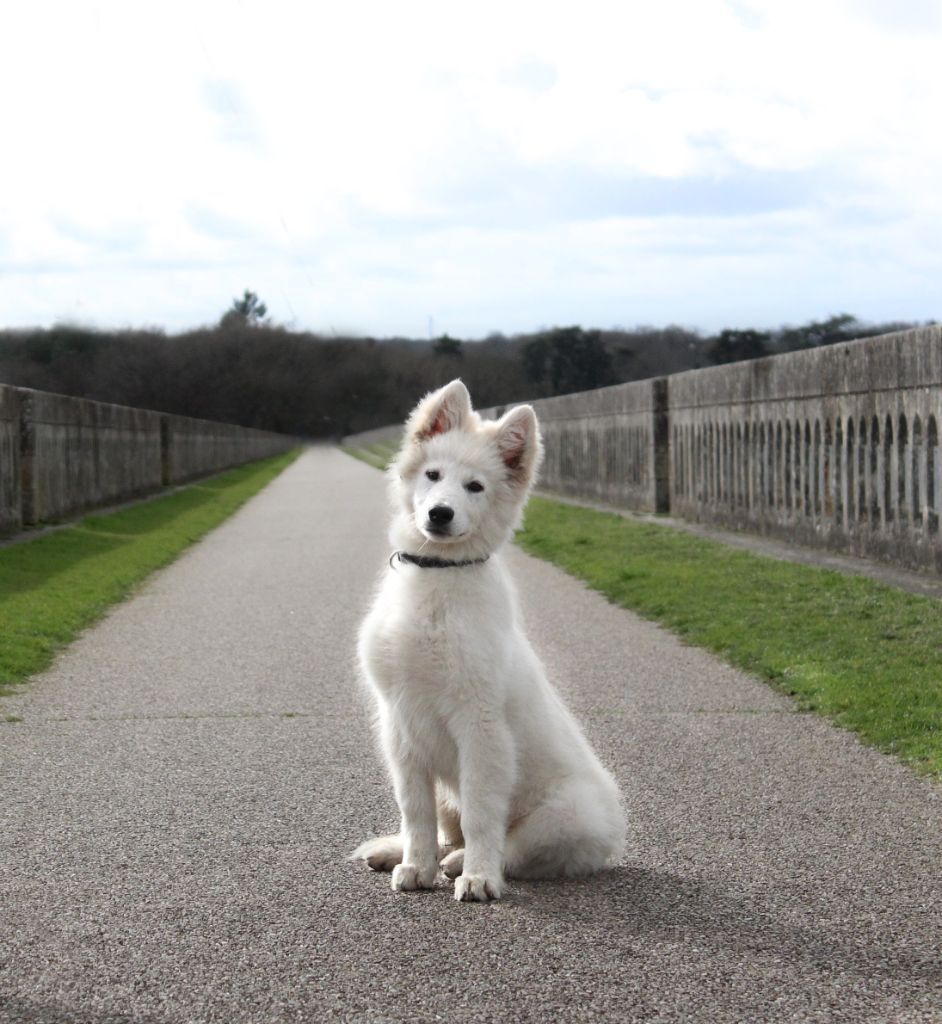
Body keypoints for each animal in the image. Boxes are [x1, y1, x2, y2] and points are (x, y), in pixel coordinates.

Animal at [352, 380, 626, 901]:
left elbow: (483, 813)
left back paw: (465, 864)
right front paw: (415, 865)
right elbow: (414, 811)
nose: (440, 513)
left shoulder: (480, 726)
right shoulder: (399, 723)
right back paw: (401, 852)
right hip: (447, 790)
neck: (437, 578)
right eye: (433, 475)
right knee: (445, 828)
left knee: (514, 848)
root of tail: (613, 838)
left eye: (475, 487)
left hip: (566, 815)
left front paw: (478, 877)